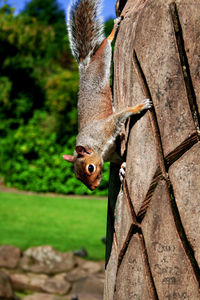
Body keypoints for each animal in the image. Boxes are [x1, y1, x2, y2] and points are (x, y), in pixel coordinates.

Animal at [62, 0, 152, 190]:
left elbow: (122, 114)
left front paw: (140, 106)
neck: (98, 148)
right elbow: (119, 159)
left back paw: (114, 29)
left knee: (105, 44)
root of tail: (85, 67)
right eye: (77, 176)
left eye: (90, 168)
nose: (93, 188)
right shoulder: (112, 154)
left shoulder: (105, 128)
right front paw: (123, 168)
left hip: (102, 61)